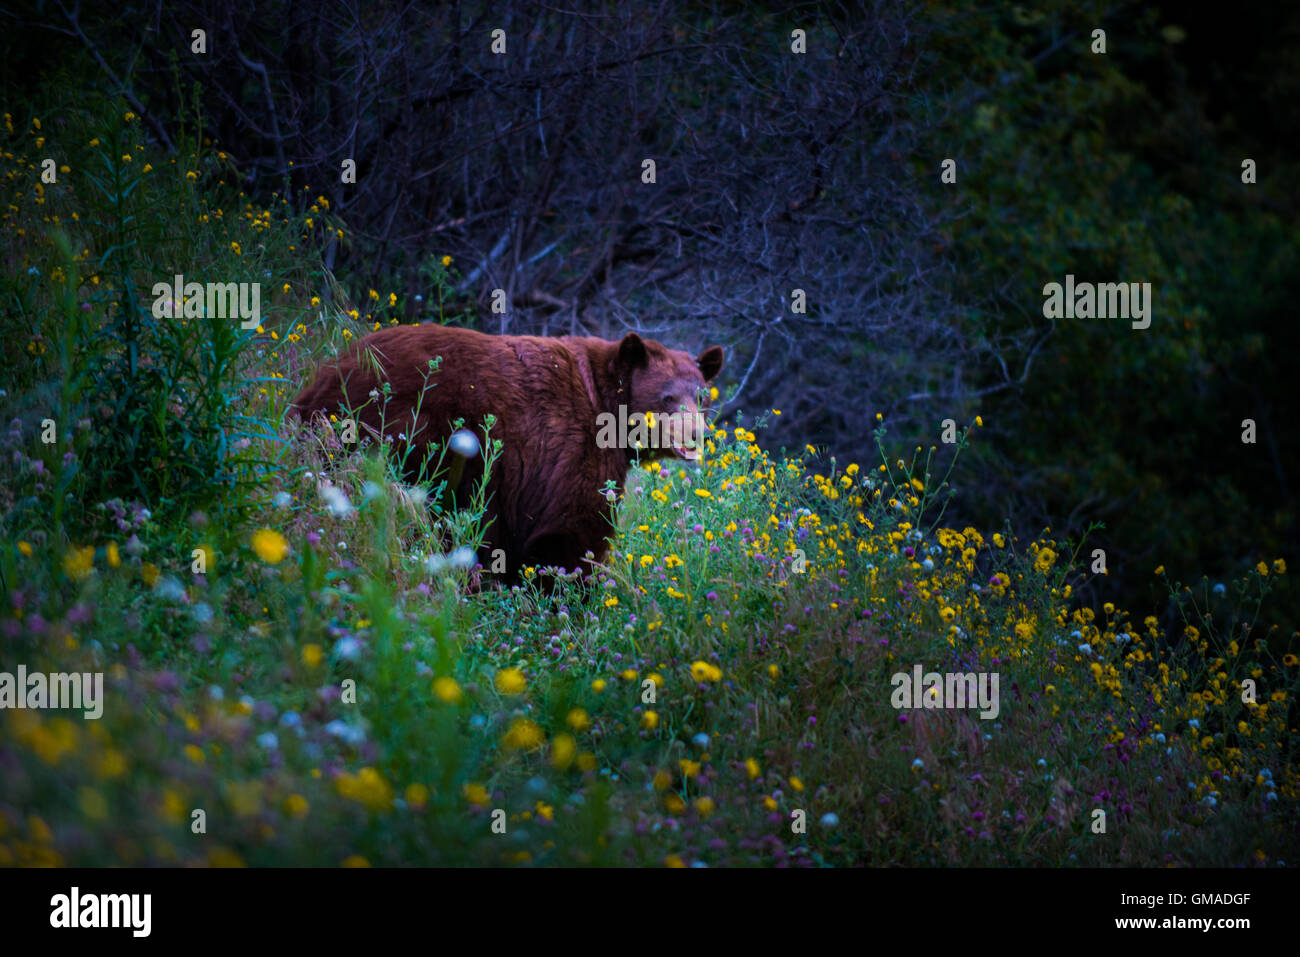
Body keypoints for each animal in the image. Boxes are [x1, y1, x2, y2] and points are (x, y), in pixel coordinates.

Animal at [288, 325, 728, 579]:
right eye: (667, 397)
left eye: (701, 396)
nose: (696, 435)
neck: (604, 403)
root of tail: (330, 374)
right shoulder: (569, 450)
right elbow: (571, 531)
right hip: (409, 432)